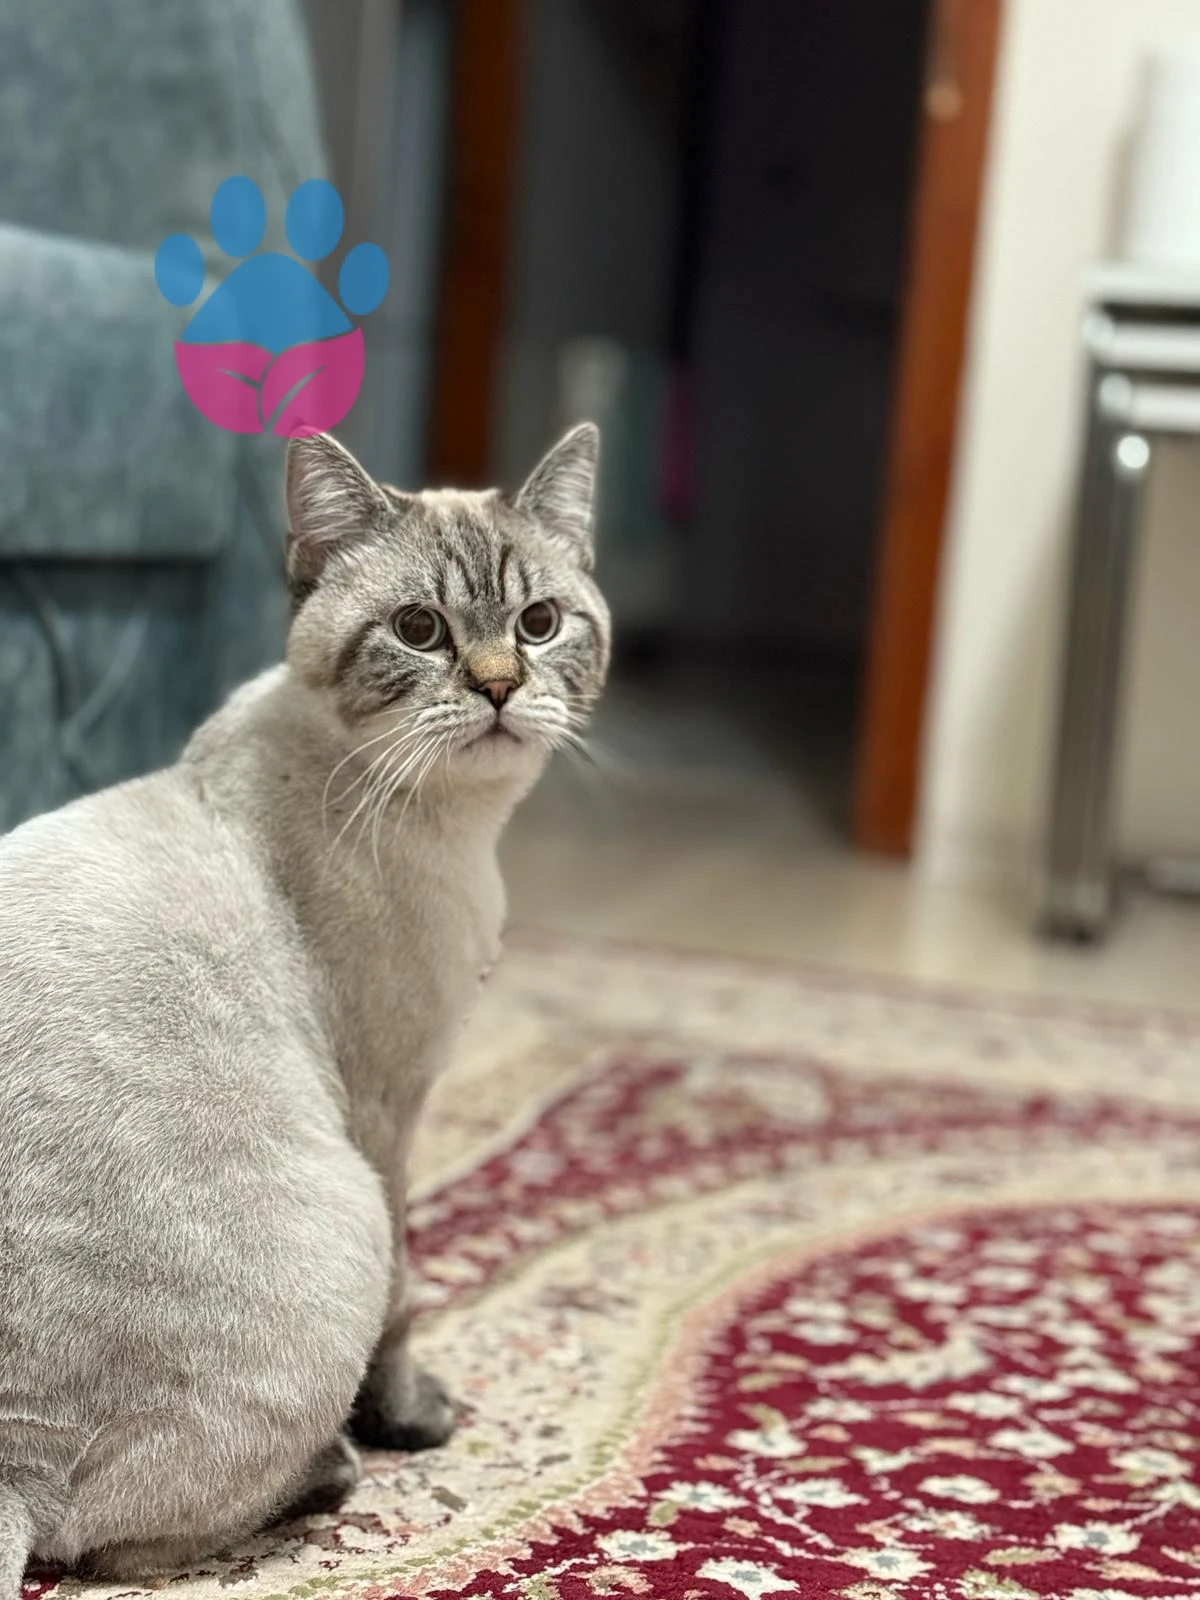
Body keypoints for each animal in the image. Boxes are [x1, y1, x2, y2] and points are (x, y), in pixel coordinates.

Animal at [0, 423, 609, 1596]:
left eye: (539, 623)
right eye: (419, 631)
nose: (500, 686)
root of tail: (10, 1457)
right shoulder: (389, 1107)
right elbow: (410, 1300)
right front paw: (414, 1420)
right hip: (346, 1214)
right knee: (111, 1546)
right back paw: (334, 1469)